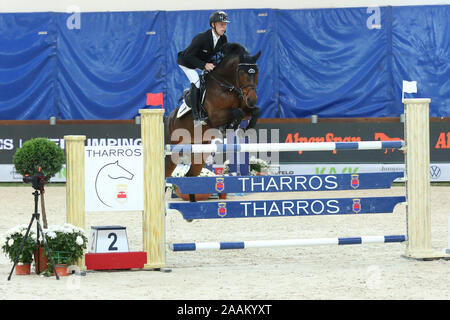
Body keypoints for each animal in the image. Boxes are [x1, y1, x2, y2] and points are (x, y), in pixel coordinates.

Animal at [164, 43, 260, 180]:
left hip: (200, 150)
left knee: (191, 173)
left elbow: (255, 111)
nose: (252, 100)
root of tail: (167, 119)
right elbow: (237, 112)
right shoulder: (214, 117)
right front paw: (229, 127)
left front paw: (244, 130)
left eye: (257, 72)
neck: (227, 86)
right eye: (242, 73)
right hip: (171, 152)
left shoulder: (245, 109)